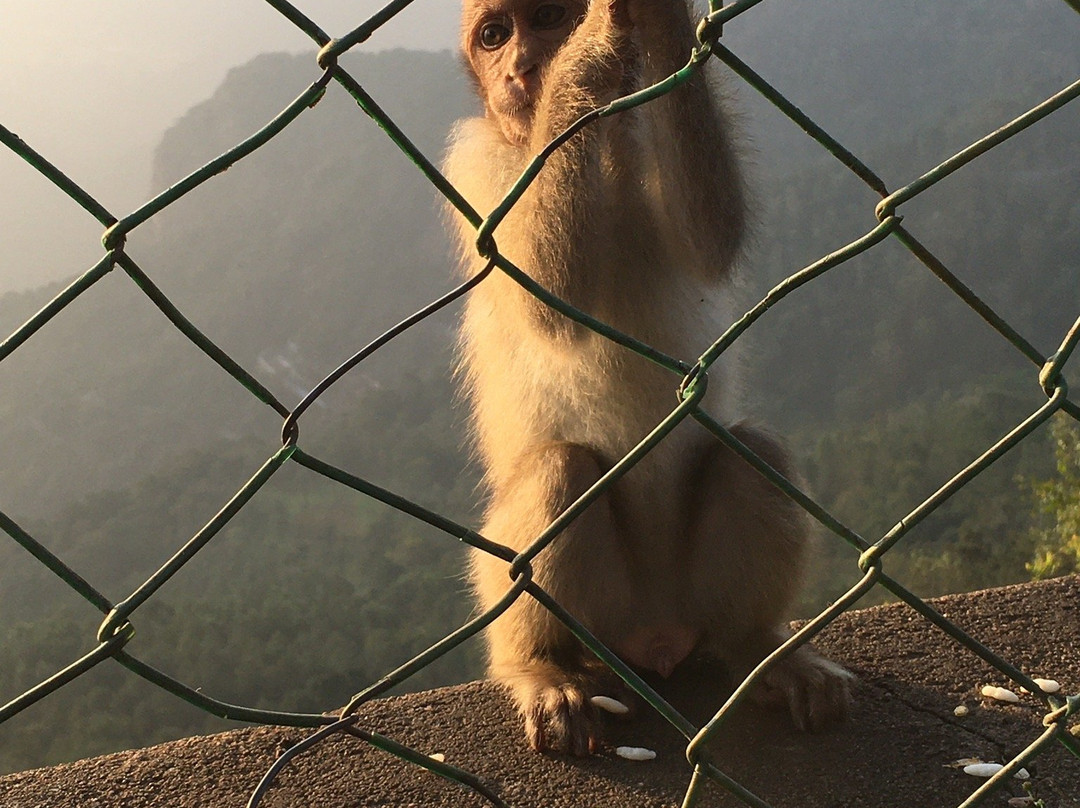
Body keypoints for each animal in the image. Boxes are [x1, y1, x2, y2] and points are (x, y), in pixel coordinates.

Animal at [438, 0, 851, 756]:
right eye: (494, 36)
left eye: (542, 18)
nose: (521, 67)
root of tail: (656, 635)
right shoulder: (476, 162)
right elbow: (545, 296)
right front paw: (587, 52)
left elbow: (709, 237)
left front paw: (660, 21)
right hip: (599, 612)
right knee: (560, 471)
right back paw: (538, 667)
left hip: (689, 595)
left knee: (749, 453)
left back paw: (758, 649)